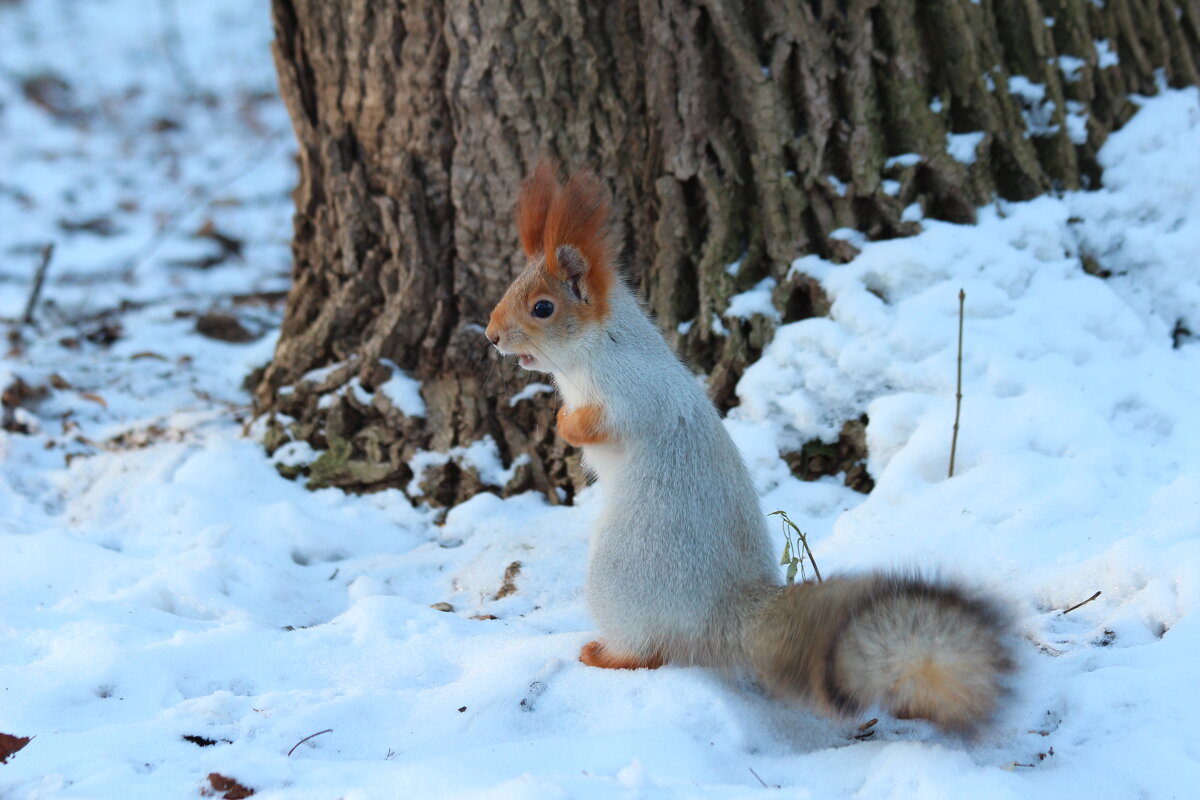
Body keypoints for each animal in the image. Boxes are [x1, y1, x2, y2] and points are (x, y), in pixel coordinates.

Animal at [484, 165, 1012, 734]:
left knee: (650, 651)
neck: (588, 357)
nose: (490, 336)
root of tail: (725, 618)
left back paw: (605, 654)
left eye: (543, 308)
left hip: (619, 574)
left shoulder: (633, 392)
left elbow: (609, 423)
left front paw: (567, 425)